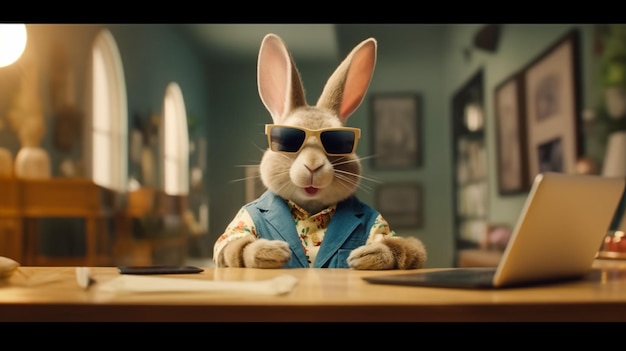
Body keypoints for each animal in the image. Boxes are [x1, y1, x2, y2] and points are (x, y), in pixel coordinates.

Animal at [212, 33, 426, 270]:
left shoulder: (385, 230)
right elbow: (230, 247)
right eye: (286, 141)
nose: (313, 165)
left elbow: (405, 249)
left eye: (339, 143)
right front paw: (270, 251)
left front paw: (368, 255)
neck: (311, 208)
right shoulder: (237, 229)